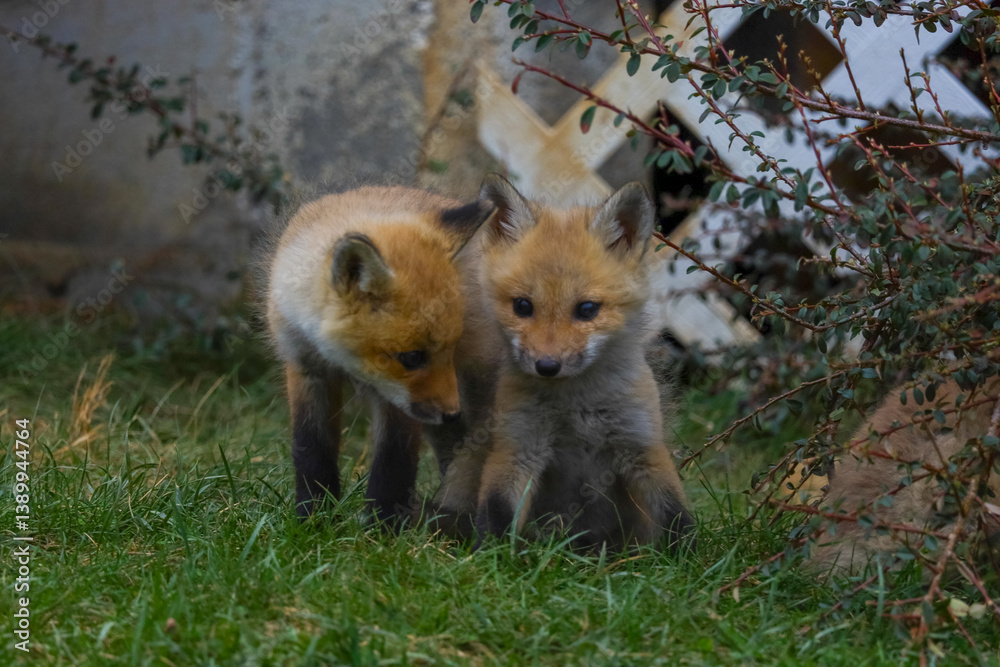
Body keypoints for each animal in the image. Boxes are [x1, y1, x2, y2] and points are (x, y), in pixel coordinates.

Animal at [265, 186, 493, 521]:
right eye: (412, 357)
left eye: (451, 348)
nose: (452, 413)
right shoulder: (305, 367)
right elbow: (310, 449)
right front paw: (314, 517)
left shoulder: (397, 400)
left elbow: (393, 464)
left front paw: (382, 526)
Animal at [437, 174, 695, 551]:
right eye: (522, 306)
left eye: (587, 309)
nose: (547, 366)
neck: (577, 406)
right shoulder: (517, 447)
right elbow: (497, 513)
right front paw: (492, 557)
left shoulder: (643, 445)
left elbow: (675, 513)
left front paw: (691, 558)